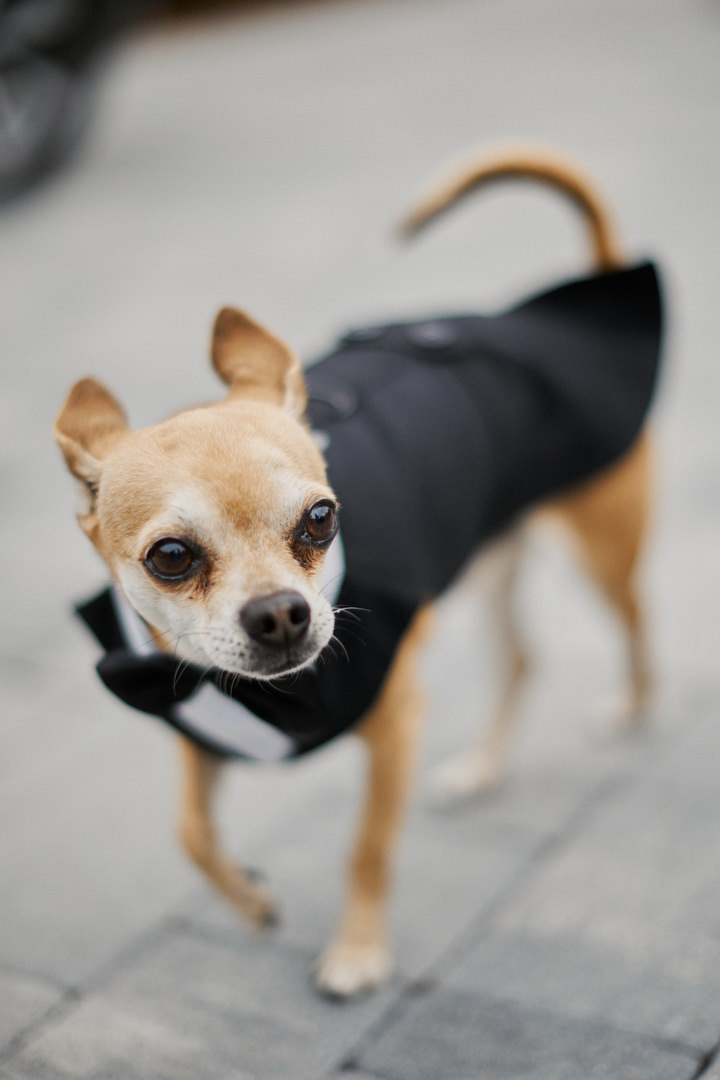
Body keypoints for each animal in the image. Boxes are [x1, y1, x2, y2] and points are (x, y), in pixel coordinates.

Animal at [55, 146, 662, 998]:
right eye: (170, 558)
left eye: (320, 518)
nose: (281, 614)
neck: (281, 694)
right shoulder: (196, 724)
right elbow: (190, 832)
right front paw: (249, 903)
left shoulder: (397, 723)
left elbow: (367, 848)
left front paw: (358, 953)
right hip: (494, 557)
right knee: (520, 657)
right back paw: (480, 770)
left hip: (602, 546)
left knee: (636, 619)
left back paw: (633, 708)